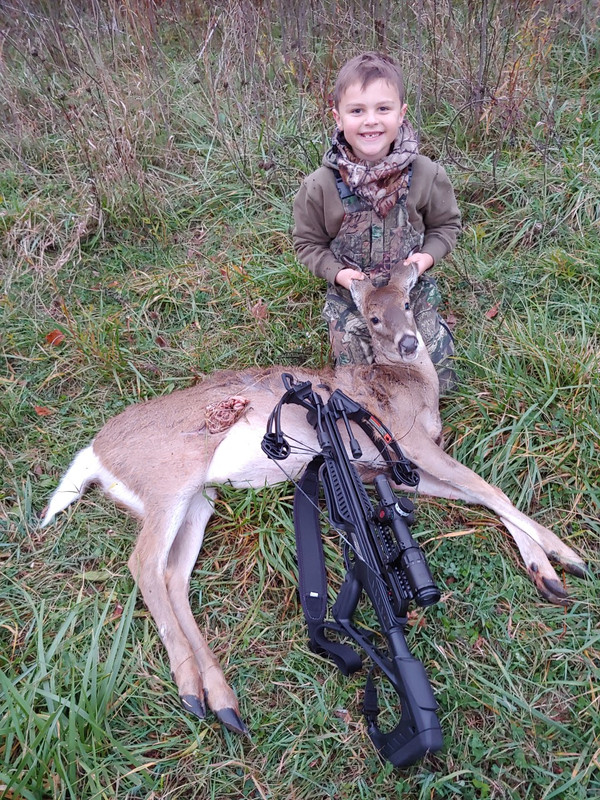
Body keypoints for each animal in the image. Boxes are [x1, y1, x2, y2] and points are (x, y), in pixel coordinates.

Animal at [41, 262, 587, 737]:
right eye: (372, 317)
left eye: (408, 302)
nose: (410, 342)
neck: (412, 390)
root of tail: (95, 455)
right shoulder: (409, 443)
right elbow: (489, 489)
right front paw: (569, 556)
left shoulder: (393, 470)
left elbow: (482, 497)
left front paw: (549, 571)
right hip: (168, 481)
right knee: (143, 563)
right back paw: (192, 691)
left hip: (198, 500)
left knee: (173, 574)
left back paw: (222, 701)